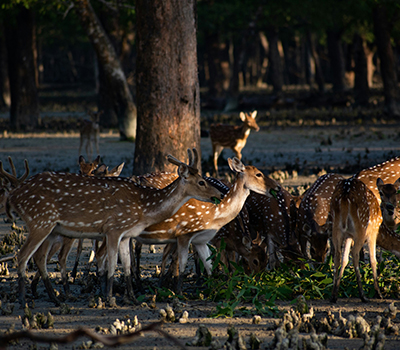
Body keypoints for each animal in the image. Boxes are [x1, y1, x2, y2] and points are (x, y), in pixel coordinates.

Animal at [6, 148, 223, 306]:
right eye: (201, 181)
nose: (220, 194)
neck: (143, 207)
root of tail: (14, 196)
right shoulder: (113, 228)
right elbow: (110, 263)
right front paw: (110, 299)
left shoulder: (126, 234)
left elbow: (125, 264)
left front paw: (132, 298)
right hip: (40, 221)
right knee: (23, 255)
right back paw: (23, 300)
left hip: (51, 228)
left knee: (39, 257)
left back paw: (54, 298)